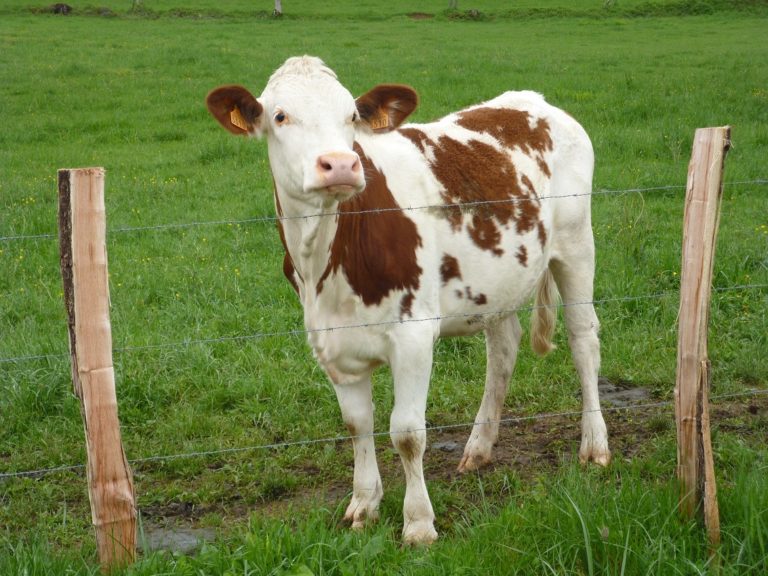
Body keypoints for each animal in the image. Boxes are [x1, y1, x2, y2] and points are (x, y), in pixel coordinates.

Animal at [206, 55, 611, 545]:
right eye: (280, 115)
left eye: (351, 116)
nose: (340, 165)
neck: (328, 258)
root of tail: (533, 101)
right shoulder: (329, 341)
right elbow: (357, 424)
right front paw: (363, 505)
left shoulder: (414, 335)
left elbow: (407, 432)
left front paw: (418, 524)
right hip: (501, 279)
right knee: (503, 348)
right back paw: (479, 447)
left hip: (577, 245)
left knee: (583, 340)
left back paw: (595, 446)